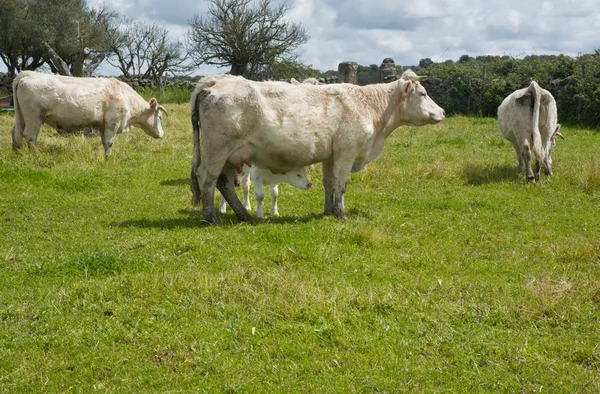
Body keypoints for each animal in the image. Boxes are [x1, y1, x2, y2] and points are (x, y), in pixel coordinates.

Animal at [9, 71, 169, 158]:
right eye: (160, 117)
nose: (162, 134)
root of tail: (28, 74)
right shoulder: (112, 123)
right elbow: (109, 142)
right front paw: (108, 159)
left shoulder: (103, 125)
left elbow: (104, 142)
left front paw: (106, 157)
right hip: (34, 117)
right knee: (30, 137)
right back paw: (38, 155)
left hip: (21, 117)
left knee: (16, 132)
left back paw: (17, 154)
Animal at [190, 71, 442, 223]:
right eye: (423, 93)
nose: (442, 111)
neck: (369, 106)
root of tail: (215, 80)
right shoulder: (346, 153)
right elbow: (341, 185)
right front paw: (341, 215)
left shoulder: (330, 156)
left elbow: (328, 183)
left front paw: (328, 211)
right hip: (217, 150)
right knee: (207, 178)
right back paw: (211, 217)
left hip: (232, 155)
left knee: (224, 183)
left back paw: (244, 215)